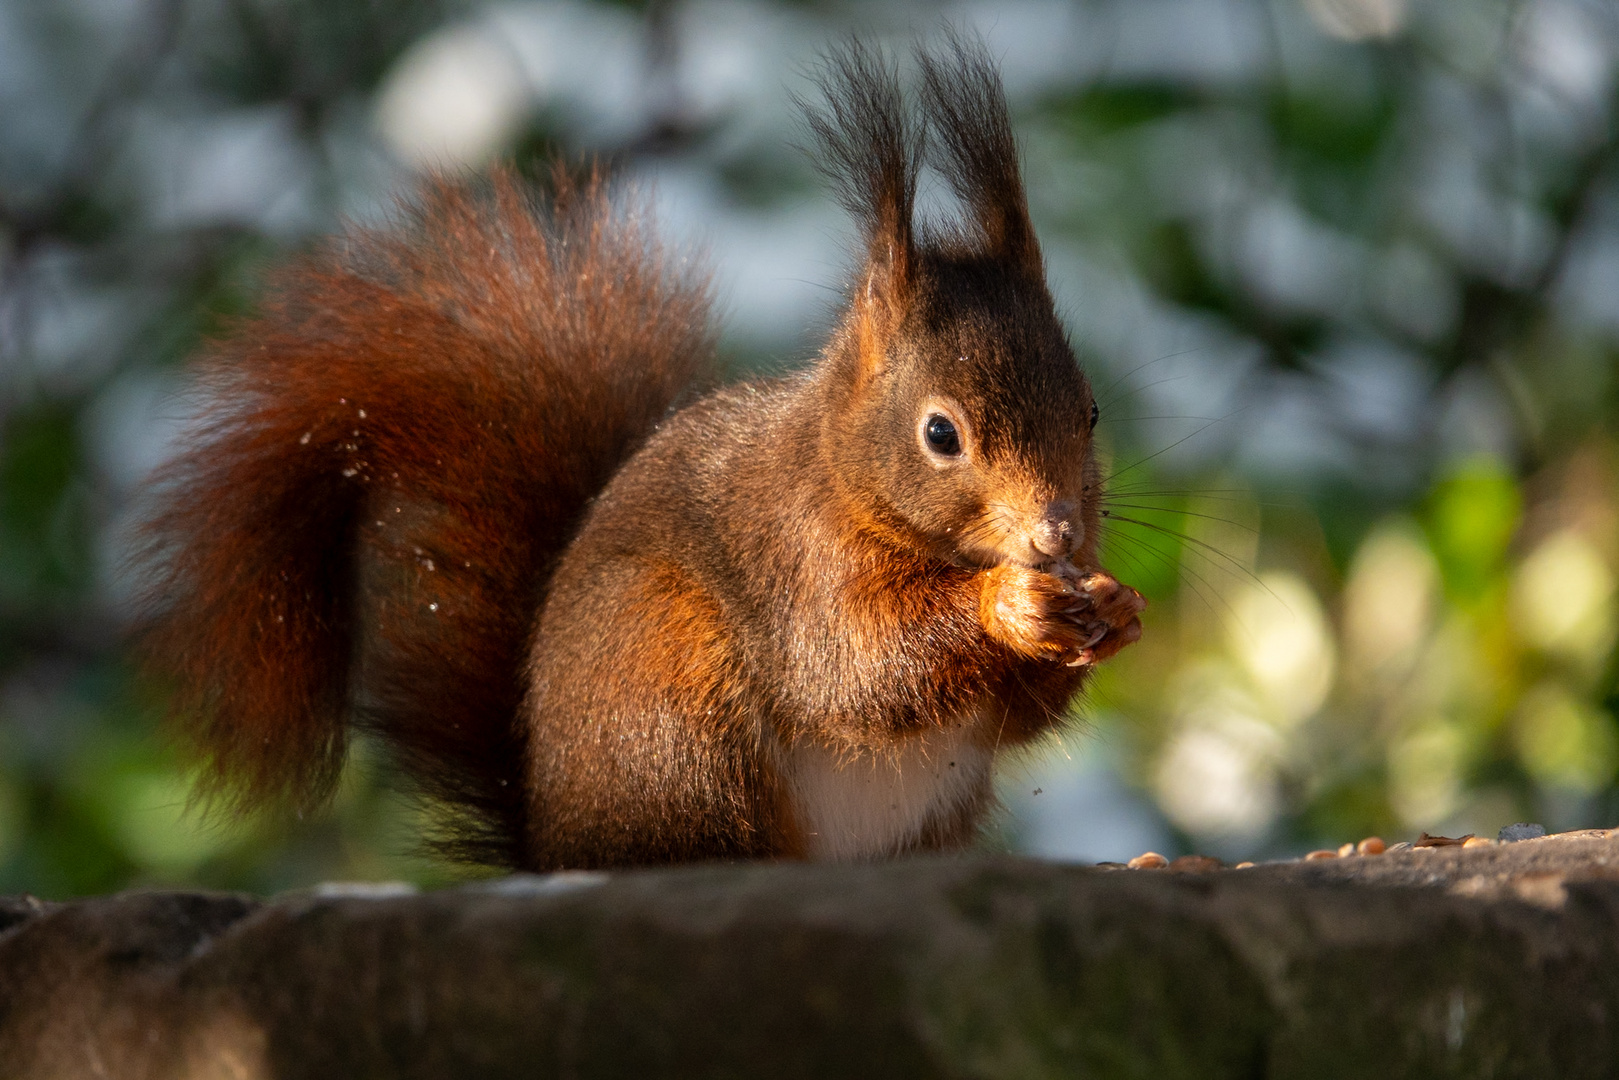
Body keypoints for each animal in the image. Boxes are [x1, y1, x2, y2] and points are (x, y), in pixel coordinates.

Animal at [142, 38, 1152, 874]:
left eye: (1092, 410)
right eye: (940, 434)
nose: (1057, 534)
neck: (840, 473)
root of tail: (555, 848)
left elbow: (1013, 714)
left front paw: (1114, 607)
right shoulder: (794, 557)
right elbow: (854, 664)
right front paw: (1008, 603)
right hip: (673, 711)